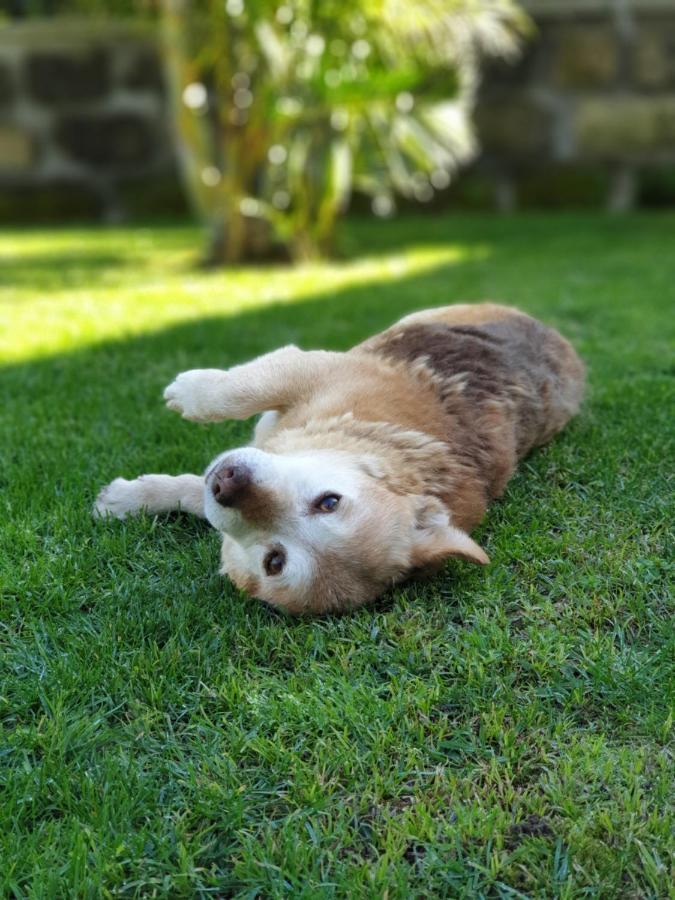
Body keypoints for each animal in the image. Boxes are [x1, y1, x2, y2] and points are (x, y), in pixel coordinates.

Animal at [95, 306, 588, 616]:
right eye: (329, 501)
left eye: (274, 562)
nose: (228, 483)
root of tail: (563, 341)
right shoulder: (313, 373)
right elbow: (239, 394)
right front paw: (128, 499)